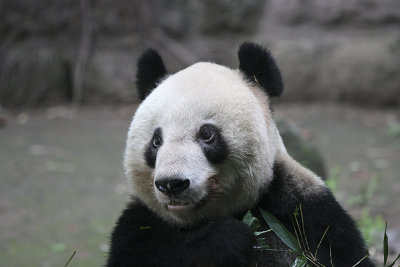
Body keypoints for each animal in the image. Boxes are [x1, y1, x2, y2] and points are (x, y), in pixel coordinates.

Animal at [107, 43, 376, 266]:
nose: (172, 184)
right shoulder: (141, 225)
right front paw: (227, 238)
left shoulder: (308, 213)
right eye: (156, 141)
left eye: (207, 135)